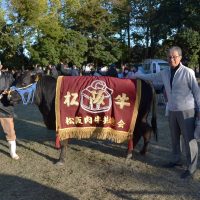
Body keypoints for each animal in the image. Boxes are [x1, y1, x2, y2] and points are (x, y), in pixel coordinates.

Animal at [8, 71, 158, 165]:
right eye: (15, 81)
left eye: (24, 83)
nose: (8, 96)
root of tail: (144, 81)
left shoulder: (64, 118)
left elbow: (64, 141)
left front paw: (60, 160)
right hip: (141, 117)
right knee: (145, 130)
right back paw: (140, 151)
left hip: (138, 117)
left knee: (142, 131)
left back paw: (129, 154)